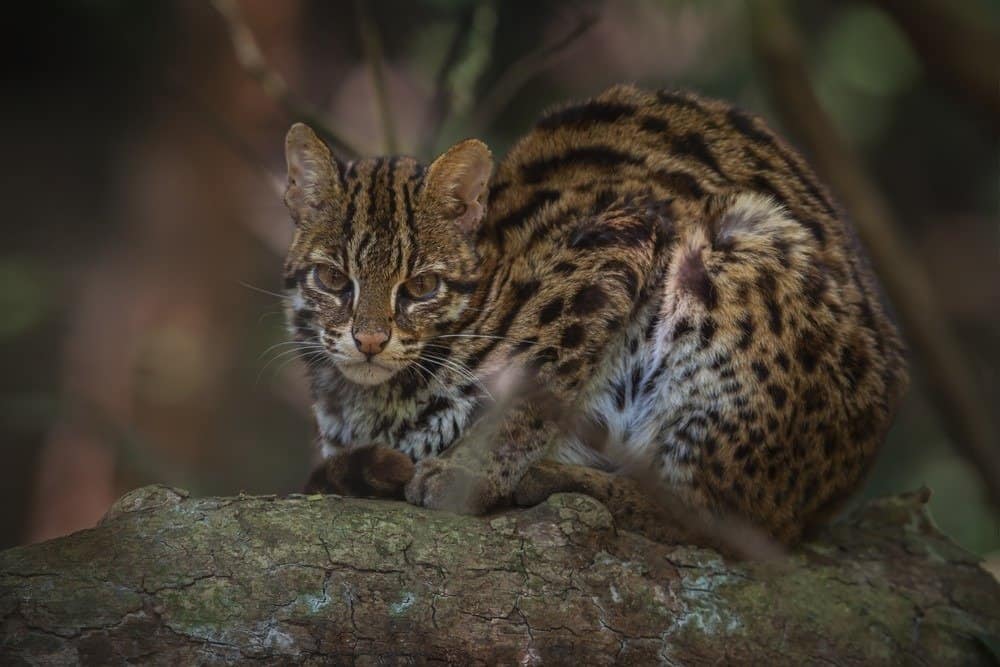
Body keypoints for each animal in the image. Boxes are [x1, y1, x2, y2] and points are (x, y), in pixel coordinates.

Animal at [280, 83, 908, 544]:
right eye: (333, 279)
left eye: (421, 286)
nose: (369, 340)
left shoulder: (620, 234)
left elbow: (536, 372)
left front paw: (466, 472)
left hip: (738, 251)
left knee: (720, 520)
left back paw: (555, 478)